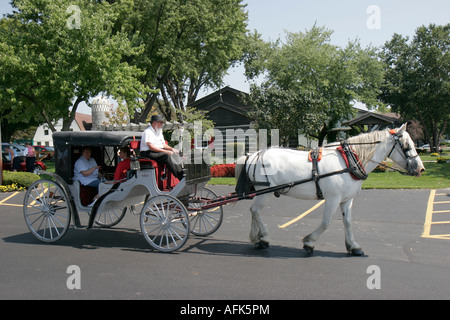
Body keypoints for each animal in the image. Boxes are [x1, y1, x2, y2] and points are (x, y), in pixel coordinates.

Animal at [236, 124, 426, 256]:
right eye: (406, 145)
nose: (421, 169)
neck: (348, 161)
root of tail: (253, 155)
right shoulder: (333, 199)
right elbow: (326, 222)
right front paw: (309, 242)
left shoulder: (346, 200)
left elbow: (347, 222)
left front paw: (353, 246)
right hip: (265, 192)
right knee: (255, 211)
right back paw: (263, 237)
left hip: (262, 192)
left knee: (254, 211)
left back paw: (257, 239)